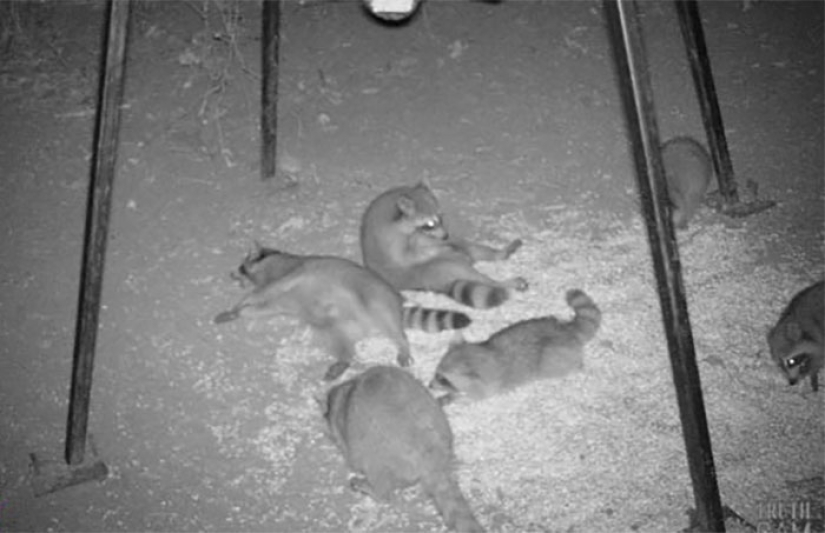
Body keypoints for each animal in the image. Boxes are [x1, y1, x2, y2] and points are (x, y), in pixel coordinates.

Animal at [214, 245, 471, 381]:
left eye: (242, 266)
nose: (231, 274)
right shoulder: (278, 303)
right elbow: (262, 309)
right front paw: (237, 311)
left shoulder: (292, 272)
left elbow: (264, 292)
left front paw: (241, 303)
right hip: (334, 327)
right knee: (340, 341)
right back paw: (344, 360)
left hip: (374, 297)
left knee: (393, 327)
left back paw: (402, 343)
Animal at [324, 366, 484, 533]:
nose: (325, 416)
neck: (346, 391)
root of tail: (432, 454)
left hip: (377, 457)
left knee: (381, 485)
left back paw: (371, 488)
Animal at [360, 181, 527, 309]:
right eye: (429, 224)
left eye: (440, 217)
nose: (446, 235)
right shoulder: (390, 241)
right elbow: (410, 255)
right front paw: (439, 246)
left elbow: (429, 242)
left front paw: (444, 242)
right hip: (438, 269)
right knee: (481, 279)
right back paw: (503, 283)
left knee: (472, 248)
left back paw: (499, 253)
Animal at [431, 289, 601, 403]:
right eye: (436, 373)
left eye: (443, 379)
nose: (430, 385)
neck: (482, 353)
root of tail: (566, 330)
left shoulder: (487, 386)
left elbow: (475, 398)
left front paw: (454, 397)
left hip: (555, 360)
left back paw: (578, 367)